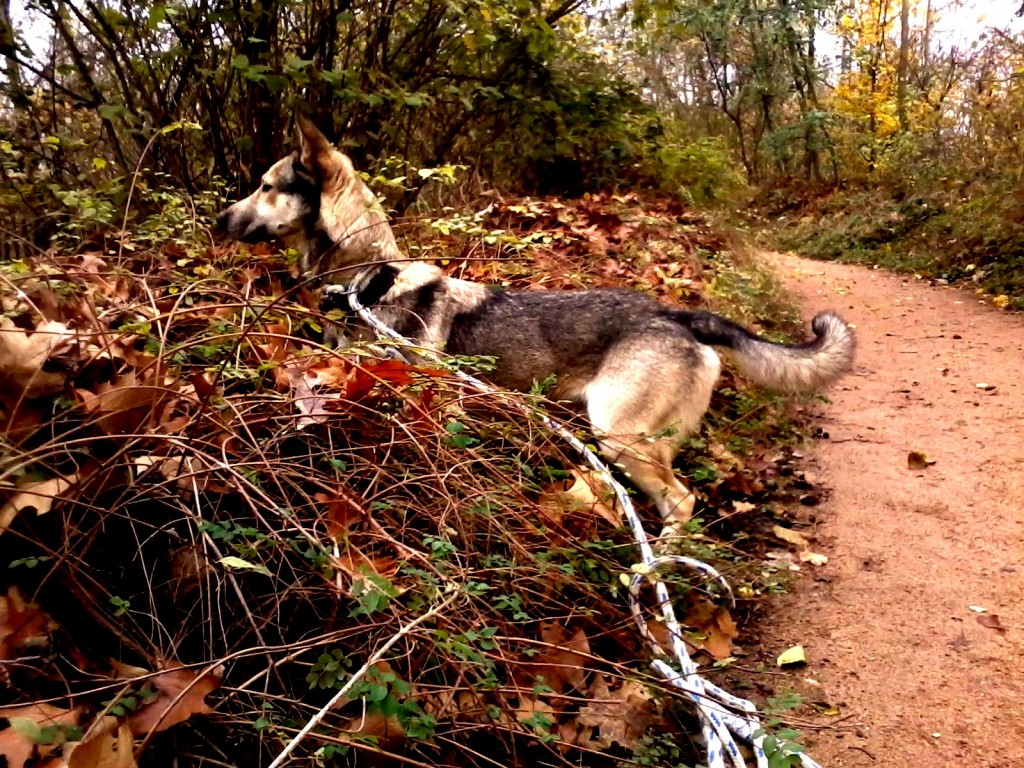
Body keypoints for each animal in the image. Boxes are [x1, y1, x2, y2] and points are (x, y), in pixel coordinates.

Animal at [220, 118, 860, 528]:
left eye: (266, 186)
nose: (219, 217)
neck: (370, 281)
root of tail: (676, 313)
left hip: (618, 434)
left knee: (682, 502)